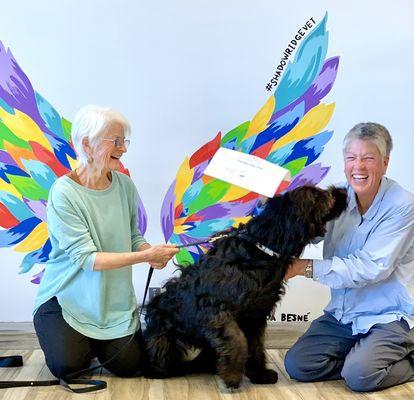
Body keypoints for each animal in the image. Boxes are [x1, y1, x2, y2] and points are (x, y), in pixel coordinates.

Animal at [144, 186, 348, 390]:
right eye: (320, 195)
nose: (343, 190)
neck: (261, 249)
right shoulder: (216, 312)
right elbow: (238, 340)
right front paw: (233, 376)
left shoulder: (256, 314)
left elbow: (256, 346)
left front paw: (259, 374)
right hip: (164, 334)